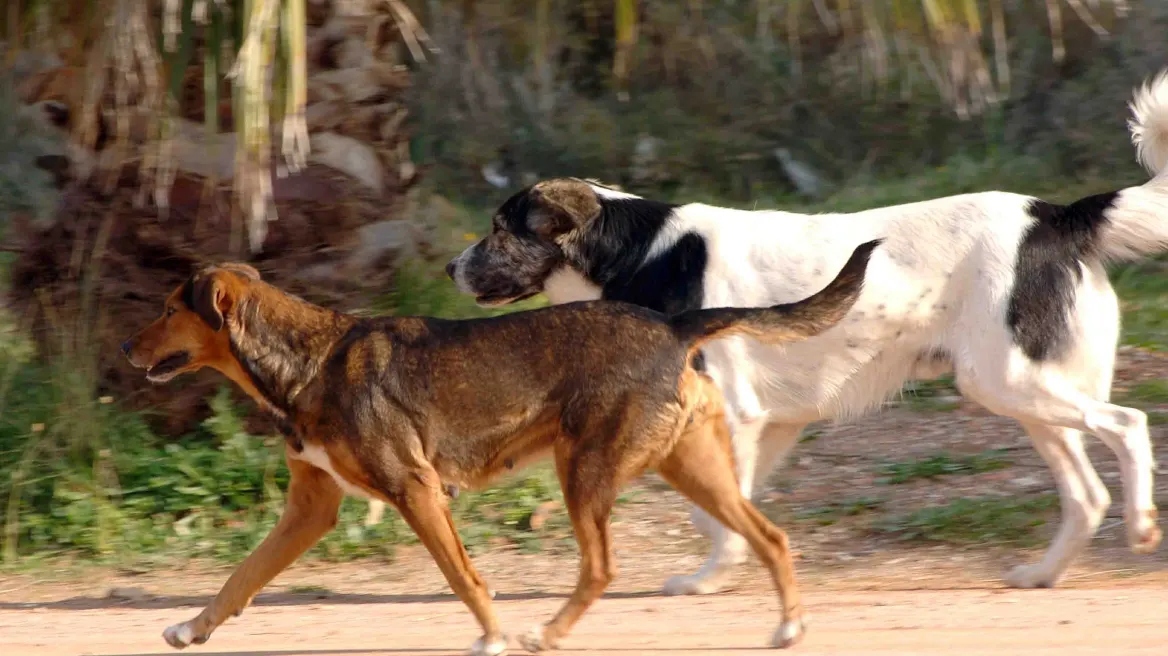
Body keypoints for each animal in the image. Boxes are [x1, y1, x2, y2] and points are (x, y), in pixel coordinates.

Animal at [123, 241, 878, 653]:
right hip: (692, 469)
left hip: (587, 472)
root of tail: (673, 324)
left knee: (602, 567)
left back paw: (546, 634)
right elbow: (240, 577)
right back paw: (788, 629)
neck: (308, 360)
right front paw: (191, 629)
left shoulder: (416, 490)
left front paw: (492, 637)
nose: (127, 349)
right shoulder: (312, 509)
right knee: (773, 537)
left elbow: (464, 577)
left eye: (168, 309)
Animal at [443, 70, 1168, 588]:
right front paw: (721, 574)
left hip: (1010, 381)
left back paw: (1139, 528)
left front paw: (707, 579)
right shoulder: (771, 424)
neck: (640, 252)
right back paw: (1043, 574)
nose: (450, 267)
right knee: (1086, 495)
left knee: (1128, 425)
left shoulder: (735, 415)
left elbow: (716, 514)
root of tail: (1056, 217)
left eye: (501, 229)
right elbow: (723, 511)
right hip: (1024, 393)